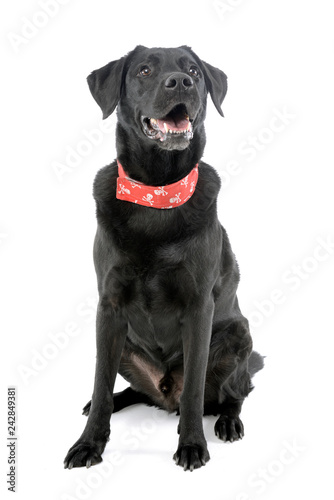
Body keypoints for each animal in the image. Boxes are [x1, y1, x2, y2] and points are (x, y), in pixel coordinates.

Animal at [64, 45, 264, 470]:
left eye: (194, 72)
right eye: (144, 71)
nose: (181, 82)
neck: (157, 194)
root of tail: (163, 392)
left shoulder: (199, 308)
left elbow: (194, 391)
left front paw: (192, 445)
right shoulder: (109, 307)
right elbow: (101, 380)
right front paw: (89, 443)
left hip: (238, 337)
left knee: (234, 393)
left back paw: (227, 422)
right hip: (125, 343)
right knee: (132, 390)